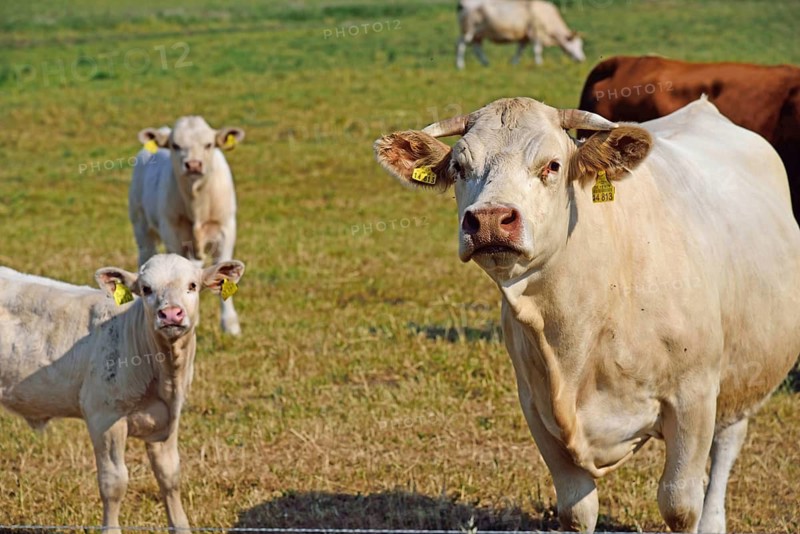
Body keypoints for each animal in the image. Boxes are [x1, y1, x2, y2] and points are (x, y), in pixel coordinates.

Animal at [0, 254, 245, 534]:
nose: (170, 313)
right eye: (146, 289)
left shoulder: (168, 417)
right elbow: (113, 482)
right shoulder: (105, 416)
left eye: (192, 285)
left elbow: (170, 475)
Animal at [130, 116, 246, 335]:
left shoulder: (226, 229)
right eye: (175, 146)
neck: (196, 201)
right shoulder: (172, 232)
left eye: (208, 145)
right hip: (141, 226)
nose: (193, 165)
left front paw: (230, 324)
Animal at [374, 97, 800, 533]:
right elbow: (577, 510)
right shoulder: (536, 405)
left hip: (745, 372)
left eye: (552, 165)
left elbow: (680, 505)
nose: (490, 219)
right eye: (459, 166)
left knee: (725, 447)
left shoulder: (693, 396)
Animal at [456, 0, 585, 70]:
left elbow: (520, 50)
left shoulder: (525, 37)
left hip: (478, 34)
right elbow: (537, 49)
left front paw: (514, 63)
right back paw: (460, 65)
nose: (582, 59)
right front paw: (539, 64)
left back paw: (486, 63)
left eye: (581, 45)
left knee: (477, 48)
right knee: (460, 45)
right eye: (575, 45)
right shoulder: (534, 32)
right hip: (468, 30)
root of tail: (464, 3)